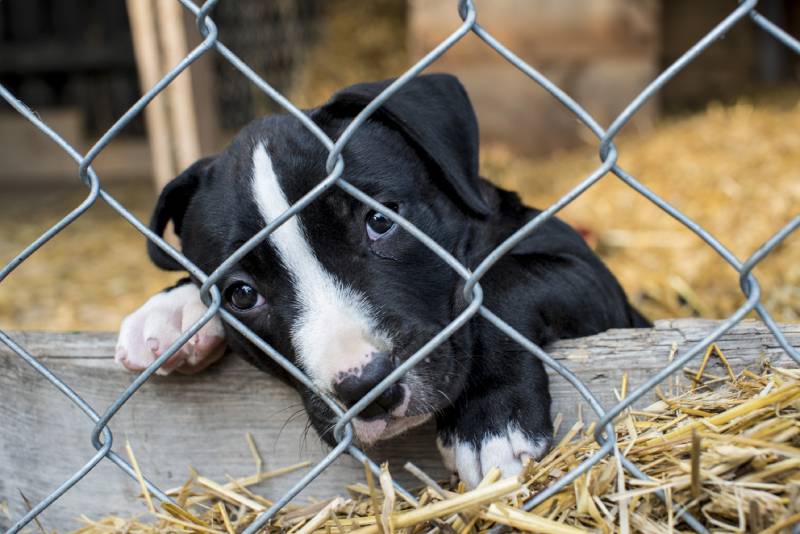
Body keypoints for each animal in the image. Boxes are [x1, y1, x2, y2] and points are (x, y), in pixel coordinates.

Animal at [115, 73, 648, 488]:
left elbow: (503, 283)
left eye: (379, 220)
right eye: (241, 294)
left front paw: (490, 420)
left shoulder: (591, 277)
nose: (366, 386)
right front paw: (172, 309)